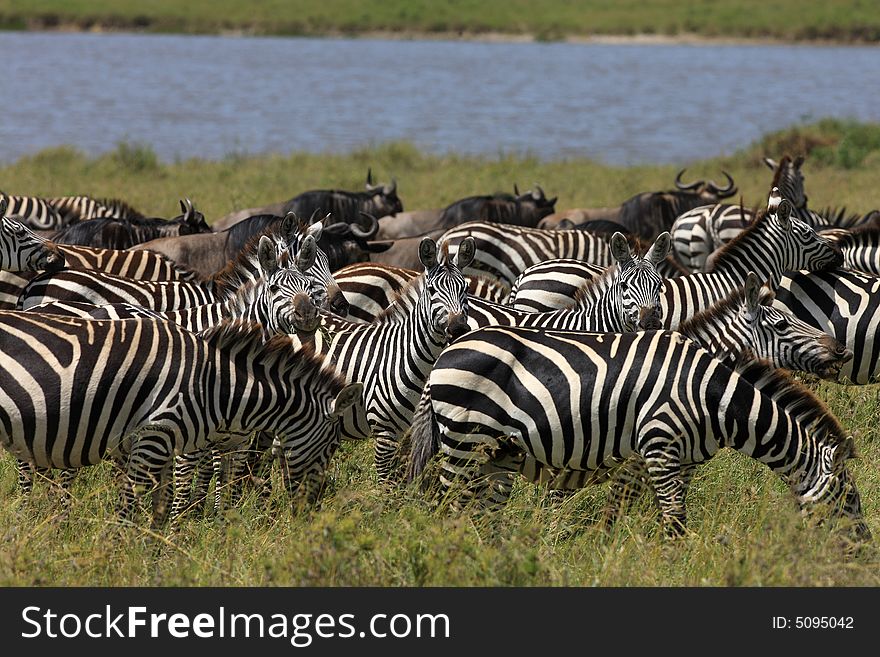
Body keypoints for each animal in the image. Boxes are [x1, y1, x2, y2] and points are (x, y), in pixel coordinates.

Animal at [0, 316, 370, 524]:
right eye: (333, 445)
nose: (313, 509)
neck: (212, 383)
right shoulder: (153, 436)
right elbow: (129, 510)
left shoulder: (163, 448)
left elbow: (160, 510)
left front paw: (156, 559)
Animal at [410, 326, 868, 540]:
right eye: (849, 499)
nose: (863, 548)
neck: (712, 398)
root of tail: (445, 355)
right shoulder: (659, 444)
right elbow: (674, 518)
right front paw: (675, 563)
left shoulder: (679, 458)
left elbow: (635, 510)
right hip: (464, 441)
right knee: (446, 508)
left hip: (493, 455)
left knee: (475, 513)